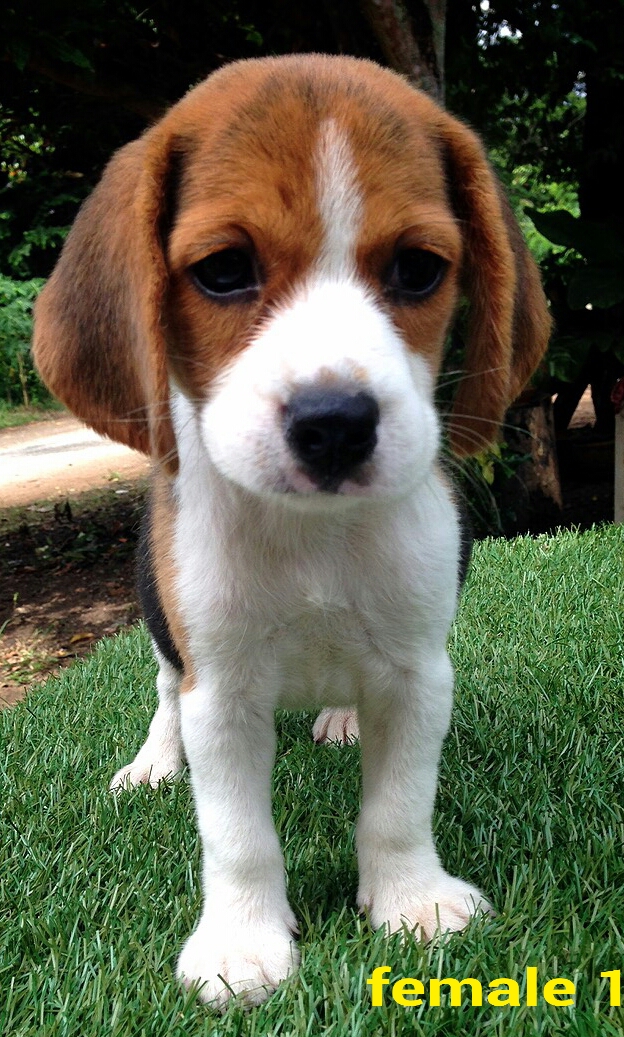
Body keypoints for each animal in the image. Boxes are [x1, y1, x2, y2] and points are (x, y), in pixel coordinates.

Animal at [33, 54, 551, 1008]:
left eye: (418, 269)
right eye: (224, 269)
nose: (336, 424)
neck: (316, 534)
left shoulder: (417, 672)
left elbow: (398, 806)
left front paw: (412, 900)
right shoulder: (222, 691)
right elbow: (238, 836)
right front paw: (242, 943)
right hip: (160, 621)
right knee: (162, 692)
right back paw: (153, 763)